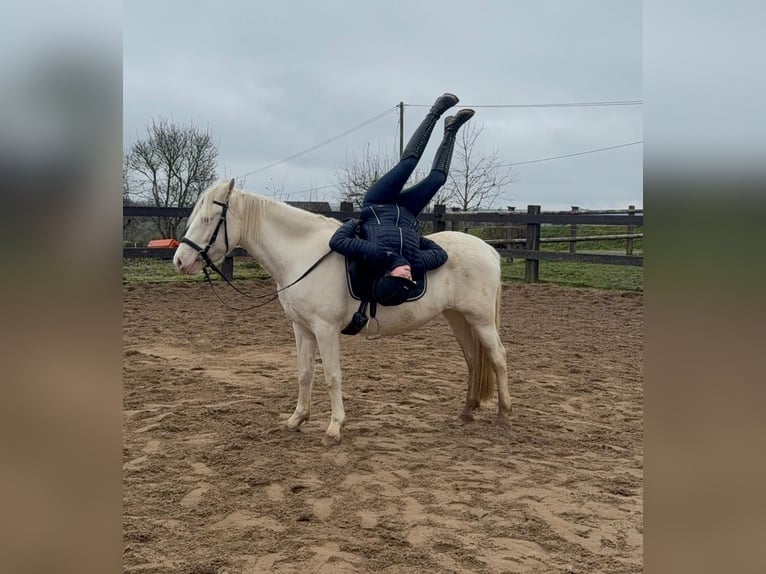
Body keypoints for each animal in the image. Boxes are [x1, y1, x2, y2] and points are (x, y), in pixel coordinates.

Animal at [173, 179, 511, 445]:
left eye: (208, 219)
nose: (179, 260)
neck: (302, 254)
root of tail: (488, 250)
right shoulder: (302, 328)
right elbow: (305, 373)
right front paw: (297, 419)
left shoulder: (325, 329)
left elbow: (332, 376)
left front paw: (335, 428)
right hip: (458, 318)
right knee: (473, 360)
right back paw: (466, 412)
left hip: (480, 320)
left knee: (497, 358)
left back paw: (504, 416)